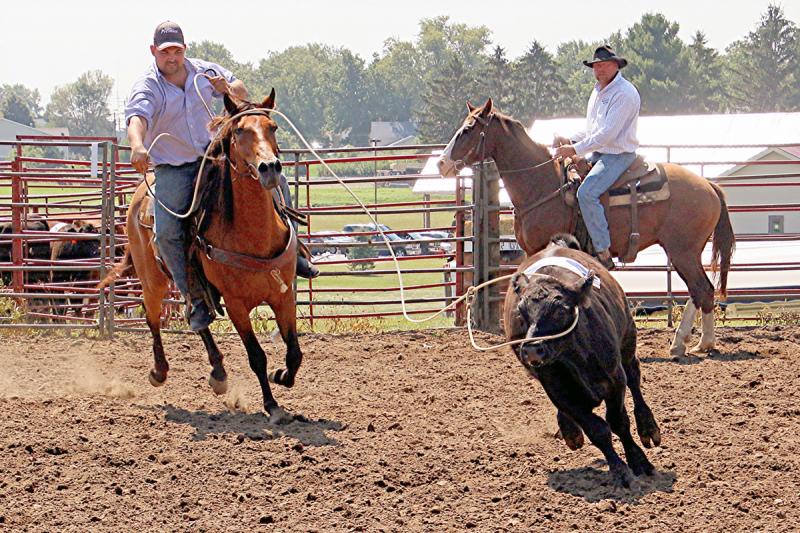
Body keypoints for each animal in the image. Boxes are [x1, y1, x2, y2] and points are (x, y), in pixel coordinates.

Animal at [100, 92, 300, 424]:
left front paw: (281, 374)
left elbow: (294, 352)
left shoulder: (283, 296)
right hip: (152, 279)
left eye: (272, 127)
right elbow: (256, 356)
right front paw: (272, 405)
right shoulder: (236, 304)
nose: (270, 167)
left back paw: (218, 372)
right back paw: (159, 371)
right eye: (240, 131)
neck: (254, 236)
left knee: (196, 315)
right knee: (153, 317)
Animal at [440, 100, 736, 358]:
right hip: (685, 252)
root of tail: (709, 185)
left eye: (468, 129)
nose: (441, 163)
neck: (542, 184)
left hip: (682, 251)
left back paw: (692, 344)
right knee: (701, 291)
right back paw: (693, 344)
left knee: (702, 290)